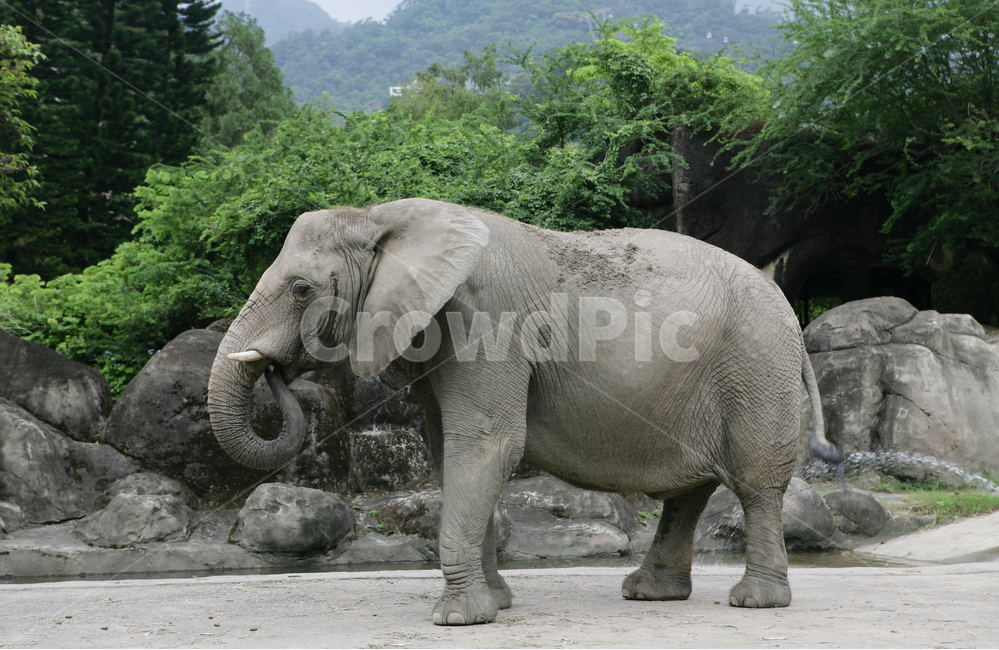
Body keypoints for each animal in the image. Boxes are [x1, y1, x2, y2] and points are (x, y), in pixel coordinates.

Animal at [208, 198, 838, 626]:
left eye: (301, 290)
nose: (276, 371)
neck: (382, 216)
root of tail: (788, 310)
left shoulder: (485, 322)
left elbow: (486, 445)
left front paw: (458, 619)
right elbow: (450, 452)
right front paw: (495, 603)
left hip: (755, 368)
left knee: (755, 484)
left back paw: (754, 601)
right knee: (690, 492)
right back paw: (650, 593)